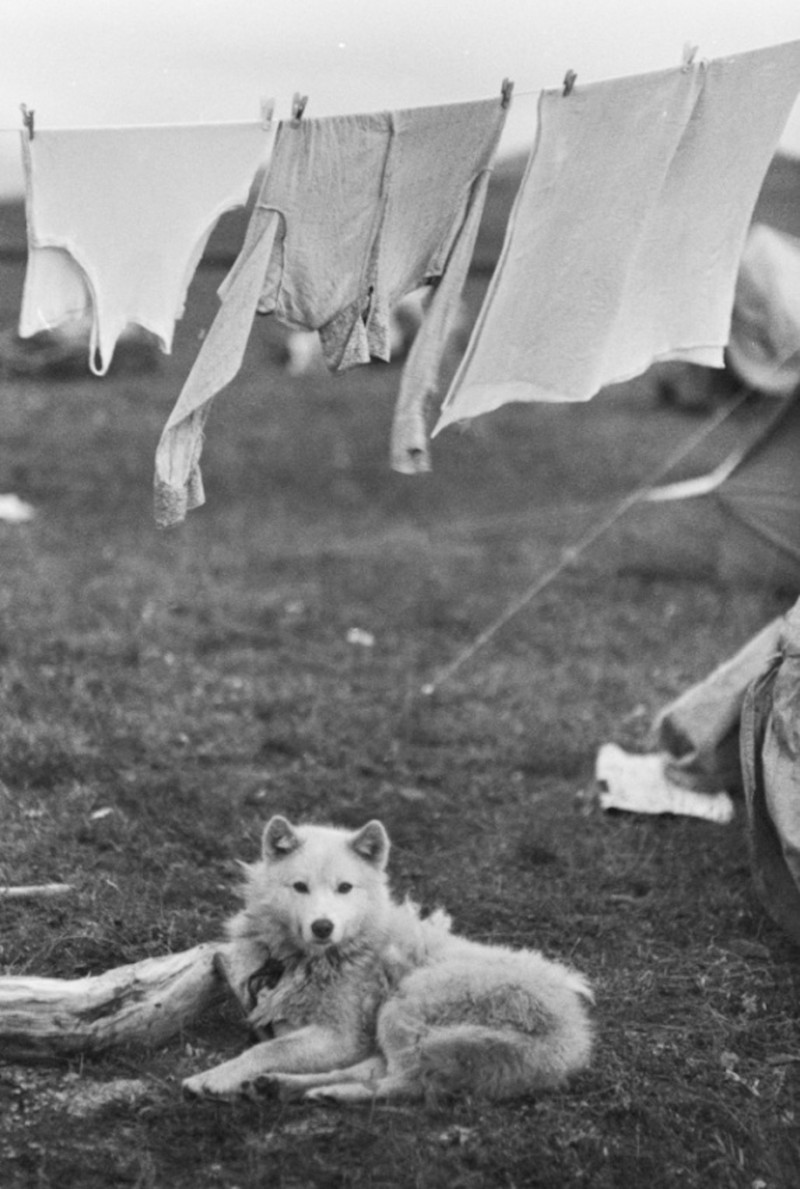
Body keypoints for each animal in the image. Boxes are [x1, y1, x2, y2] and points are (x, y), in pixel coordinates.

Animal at [183, 818, 591, 1103]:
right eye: (299, 887)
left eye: (344, 888)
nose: (322, 926)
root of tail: (571, 1035)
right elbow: (274, 1042)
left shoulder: (342, 1036)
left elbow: (266, 1048)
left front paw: (214, 1077)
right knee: (380, 1071)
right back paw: (286, 1087)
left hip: (401, 1004)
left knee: (407, 1082)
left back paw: (328, 1094)